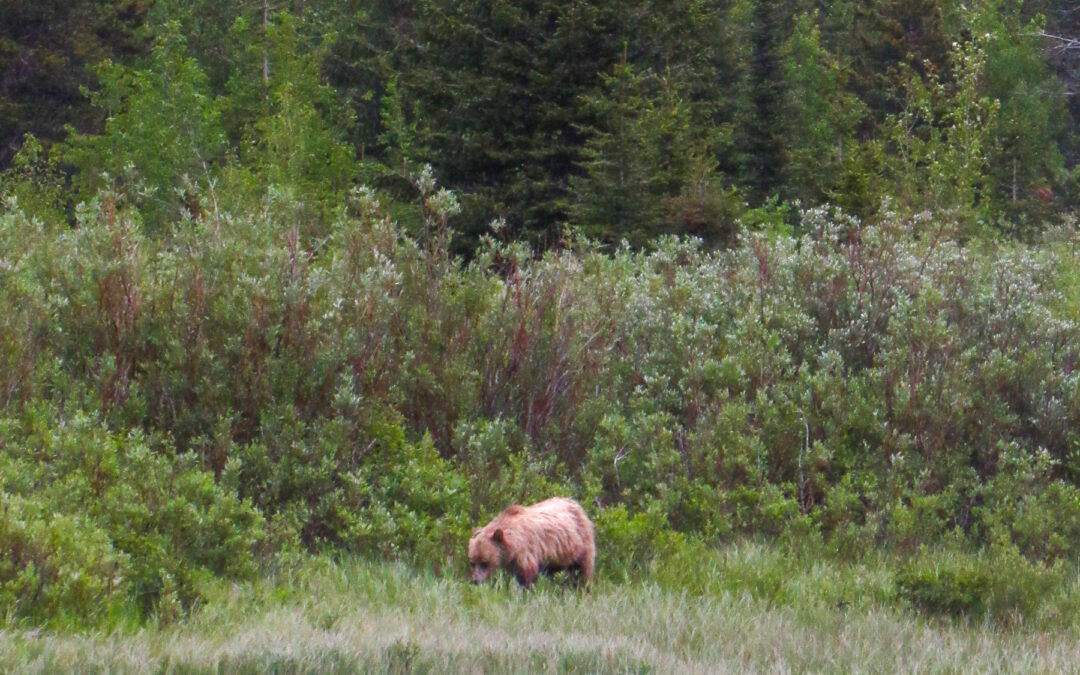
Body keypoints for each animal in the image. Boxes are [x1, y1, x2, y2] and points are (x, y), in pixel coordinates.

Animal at [468, 492, 596, 587]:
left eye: (484, 562)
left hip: (581, 541)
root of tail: (575, 502)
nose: (475, 580)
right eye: (472, 562)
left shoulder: (526, 551)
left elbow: (527, 574)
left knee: (583, 568)